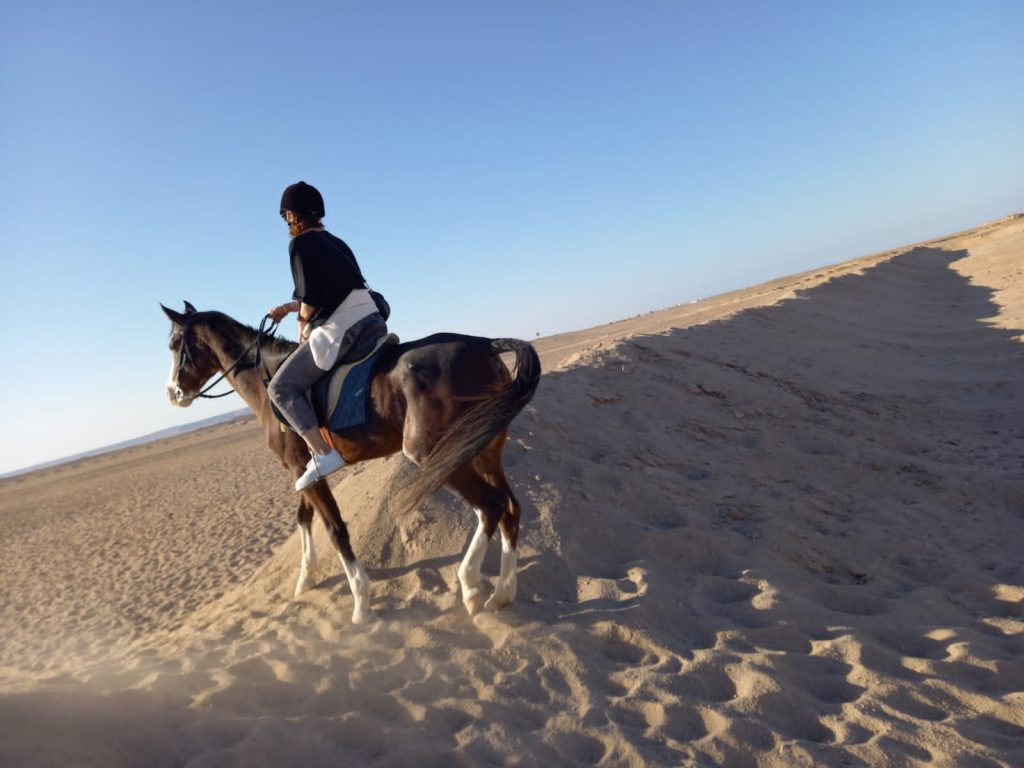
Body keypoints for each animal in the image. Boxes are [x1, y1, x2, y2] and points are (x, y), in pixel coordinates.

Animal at [161, 301, 540, 625]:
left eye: (175, 344)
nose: (173, 393)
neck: (266, 378)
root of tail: (486, 345)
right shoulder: (303, 470)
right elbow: (304, 517)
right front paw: (305, 578)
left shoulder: (302, 468)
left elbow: (334, 528)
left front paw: (360, 601)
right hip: (483, 448)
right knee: (510, 507)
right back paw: (502, 594)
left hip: (436, 453)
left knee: (490, 505)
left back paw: (472, 587)